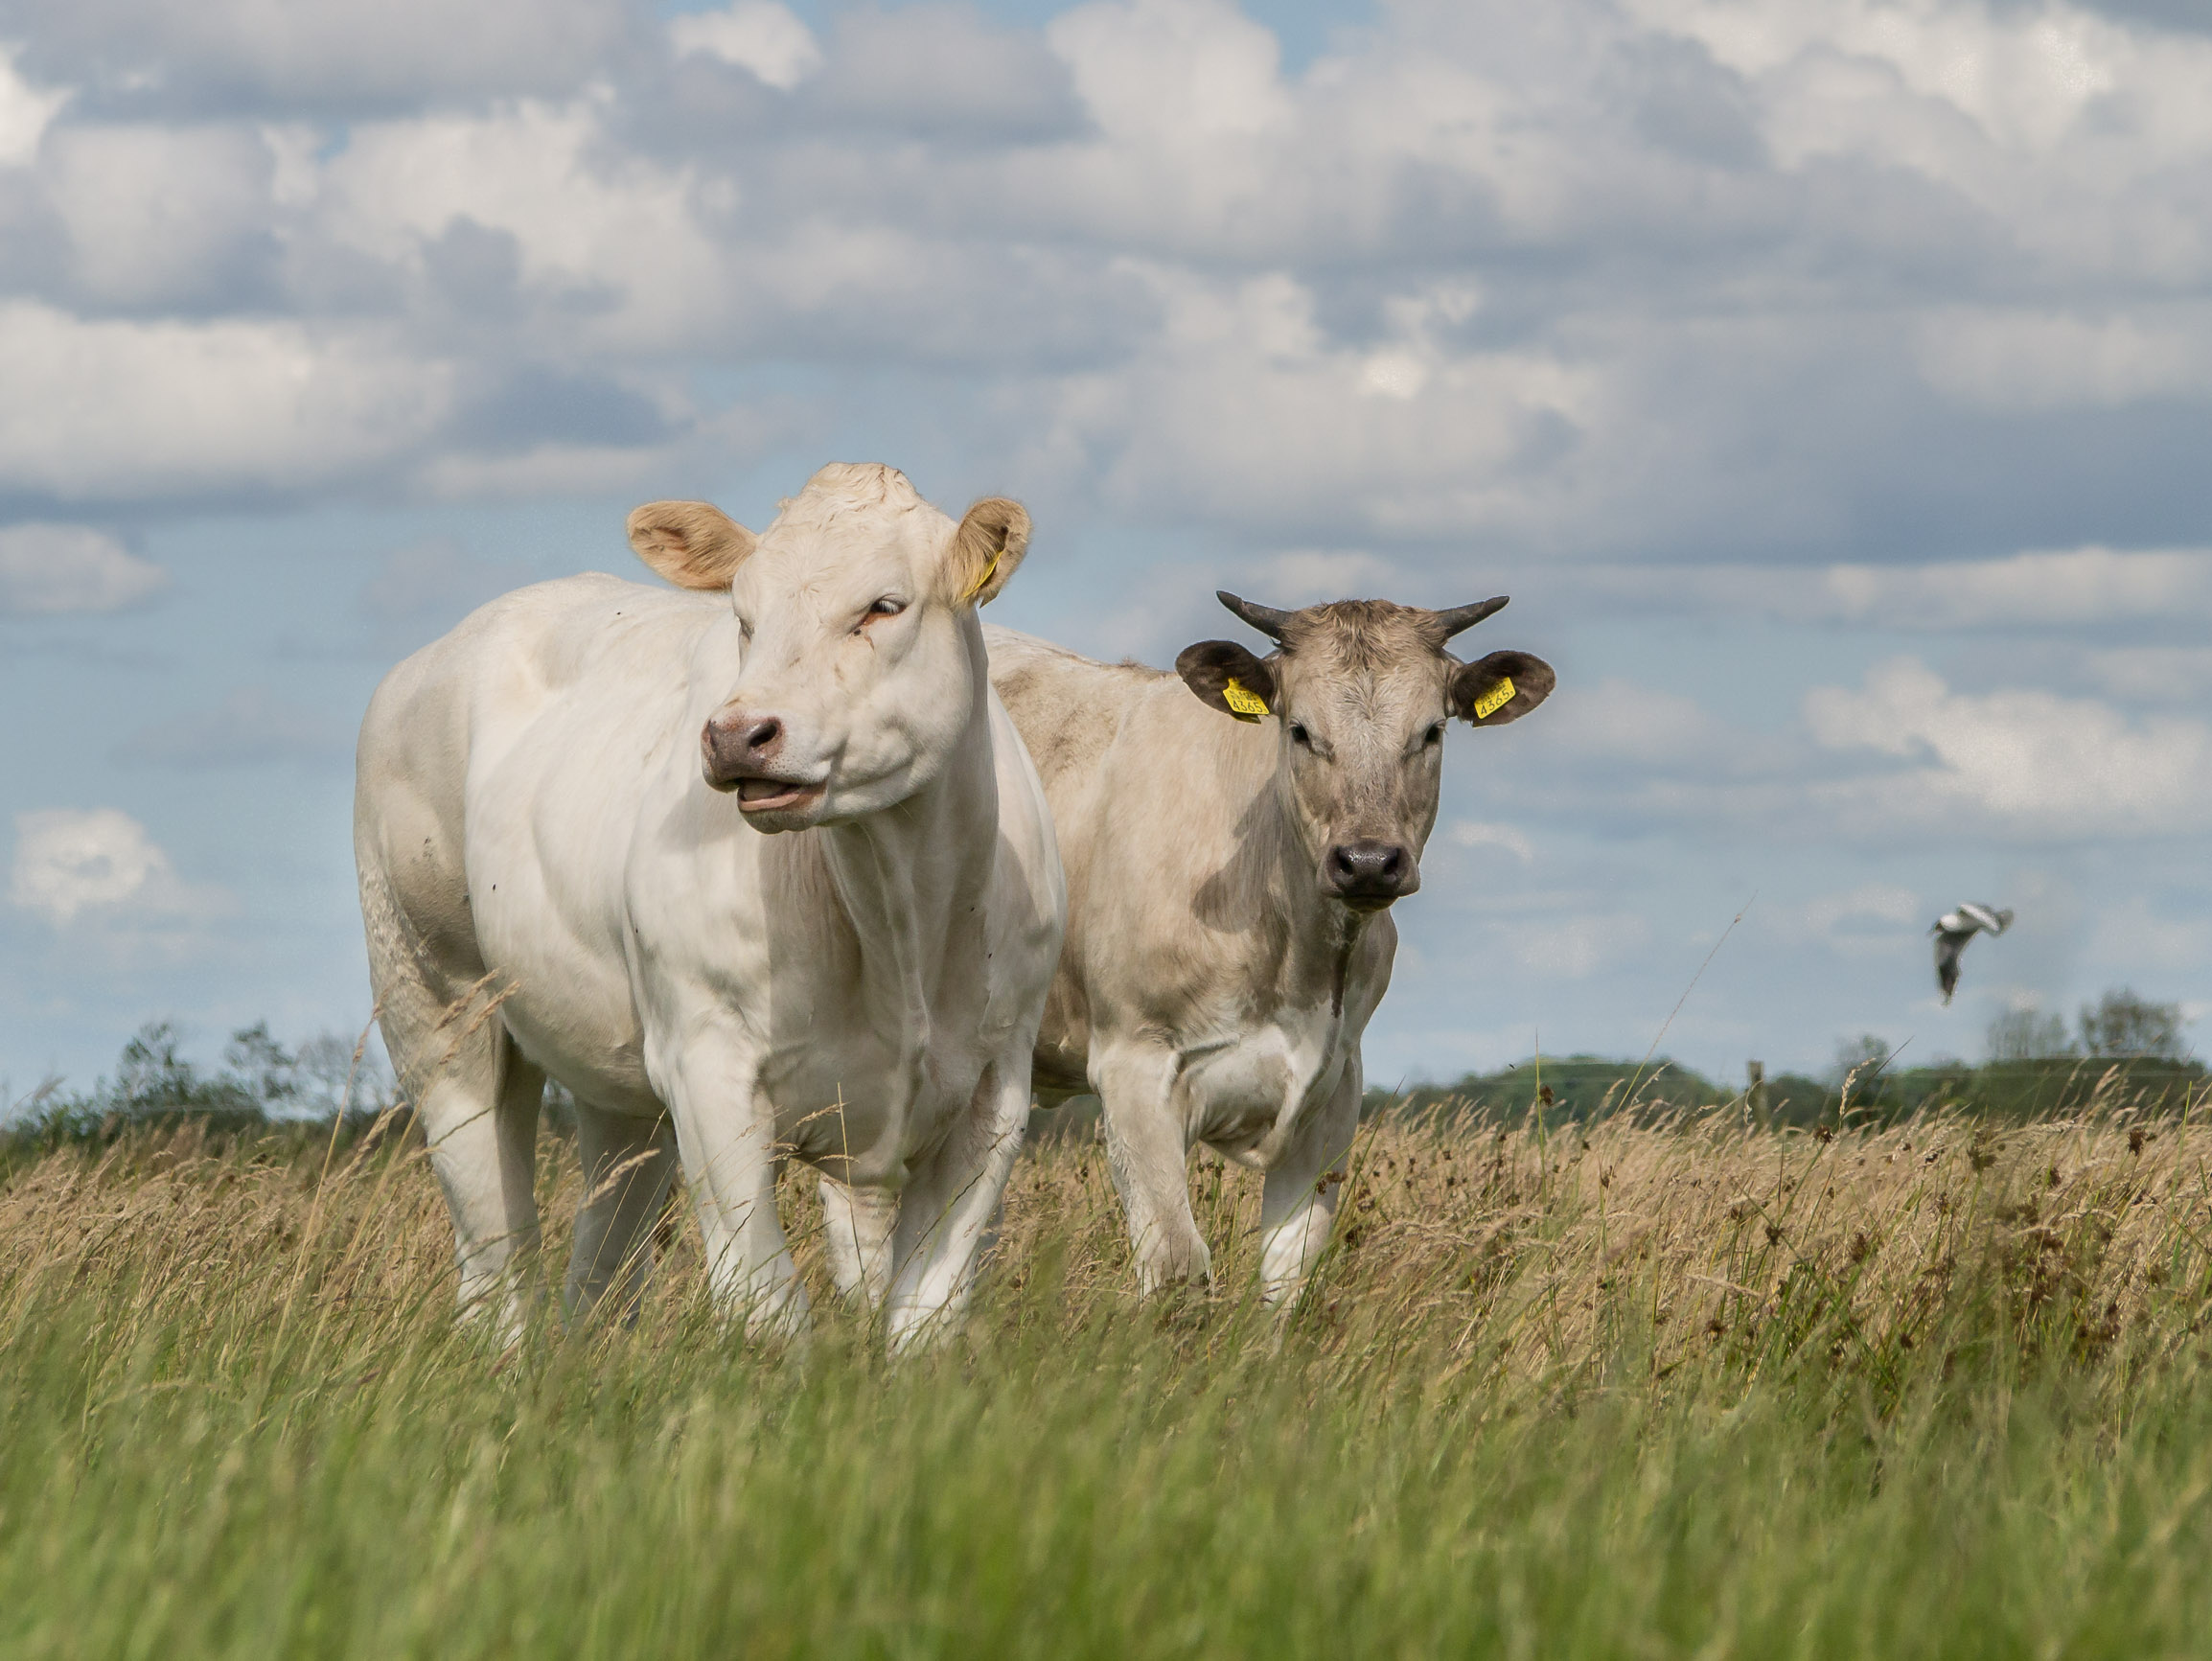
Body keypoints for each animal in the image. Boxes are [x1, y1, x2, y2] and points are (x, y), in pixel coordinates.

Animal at [355, 462, 1065, 1353]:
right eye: (744, 615)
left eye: (883, 605)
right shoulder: (707, 1066)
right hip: (434, 1003)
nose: (737, 734)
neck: (897, 924)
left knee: (603, 1257)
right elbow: (767, 1306)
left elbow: (925, 1316)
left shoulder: (996, 1087)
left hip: (618, 1082)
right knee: (496, 1251)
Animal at [986, 592, 1552, 1303]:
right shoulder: (1132, 1066)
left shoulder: (1334, 1088)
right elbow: (1177, 1266)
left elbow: (1289, 1273)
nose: (1369, 862)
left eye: (1431, 732)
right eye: (1300, 730)